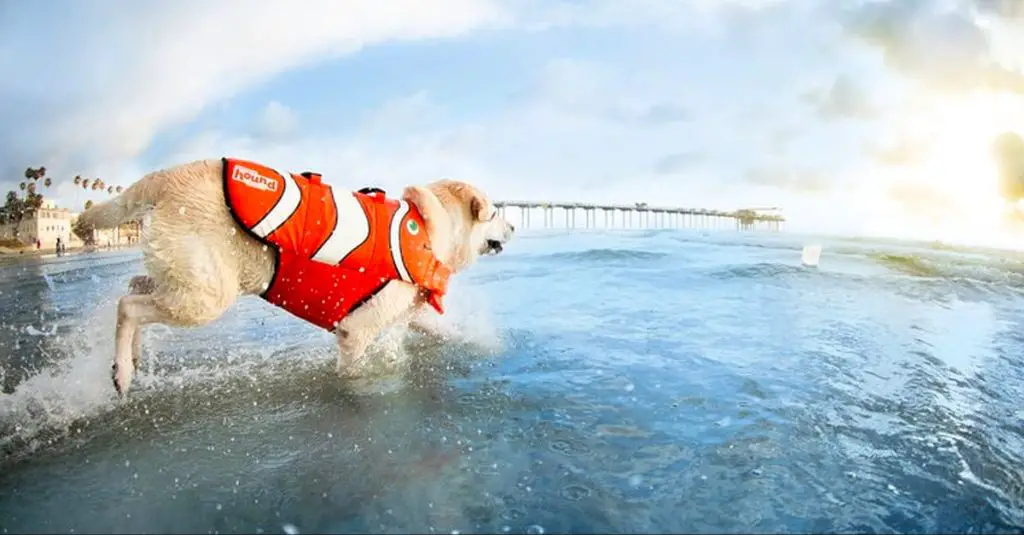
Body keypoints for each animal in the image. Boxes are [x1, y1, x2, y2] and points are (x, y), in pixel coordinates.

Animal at [73, 155, 516, 393]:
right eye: (495, 213)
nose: (513, 226)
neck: (426, 230)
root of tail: (169, 175)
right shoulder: (357, 331)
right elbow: (353, 369)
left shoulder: (403, 311)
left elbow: (444, 330)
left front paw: (480, 345)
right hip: (204, 297)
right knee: (128, 305)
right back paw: (123, 371)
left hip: (187, 277)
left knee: (135, 286)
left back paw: (132, 355)